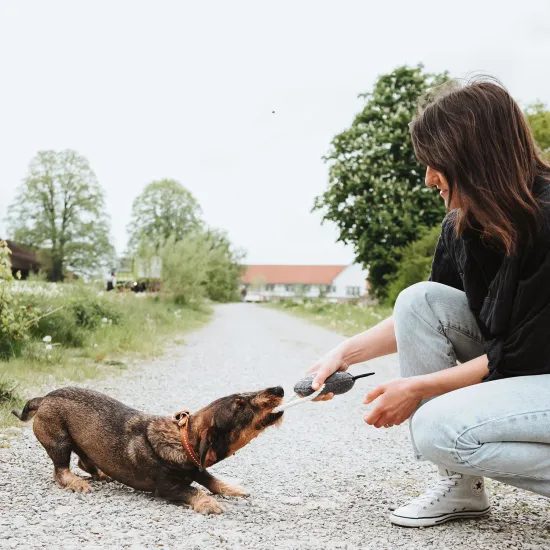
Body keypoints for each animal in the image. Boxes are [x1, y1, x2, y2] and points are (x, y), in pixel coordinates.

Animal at [12, 386, 284, 516]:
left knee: (84, 463)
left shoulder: (198, 469)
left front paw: (233, 488)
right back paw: (76, 482)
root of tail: (44, 398)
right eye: (240, 404)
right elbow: (193, 490)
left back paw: (101, 473)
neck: (182, 439)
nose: (279, 389)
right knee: (61, 470)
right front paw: (207, 503)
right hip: (59, 441)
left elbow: (211, 479)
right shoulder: (168, 488)